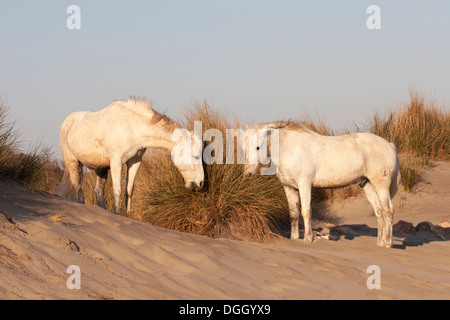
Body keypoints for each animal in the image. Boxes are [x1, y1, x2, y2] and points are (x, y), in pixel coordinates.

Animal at [57, 96, 204, 214]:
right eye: (196, 156)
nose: (200, 183)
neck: (132, 127)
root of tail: (67, 121)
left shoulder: (135, 161)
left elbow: (129, 189)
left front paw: (128, 214)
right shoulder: (116, 161)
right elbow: (117, 189)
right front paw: (116, 213)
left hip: (101, 169)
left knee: (98, 192)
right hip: (74, 163)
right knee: (78, 191)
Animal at [243, 120, 400, 248]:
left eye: (258, 147)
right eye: (243, 149)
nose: (248, 174)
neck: (290, 149)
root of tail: (390, 145)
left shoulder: (305, 185)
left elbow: (306, 211)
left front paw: (308, 238)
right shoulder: (289, 188)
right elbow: (293, 214)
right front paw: (294, 238)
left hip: (381, 186)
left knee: (388, 211)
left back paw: (388, 243)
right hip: (367, 185)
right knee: (379, 212)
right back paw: (380, 242)